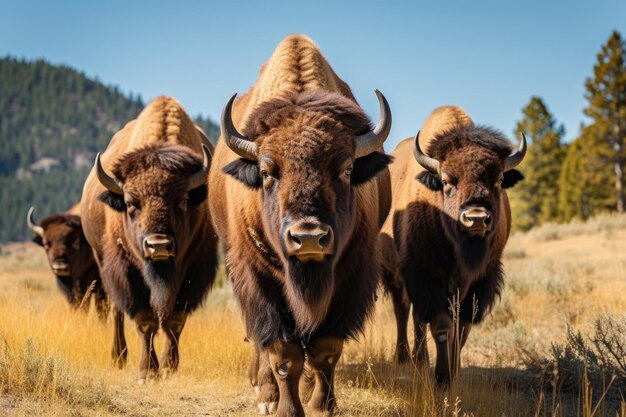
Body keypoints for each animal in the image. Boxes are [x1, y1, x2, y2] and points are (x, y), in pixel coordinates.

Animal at [80, 96, 217, 382]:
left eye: (183, 200)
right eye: (131, 203)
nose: (158, 245)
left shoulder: (194, 268)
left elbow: (174, 320)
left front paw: (168, 366)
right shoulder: (126, 270)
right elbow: (145, 320)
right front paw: (147, 371)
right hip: (103, 261)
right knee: (116, 311)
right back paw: (119, 356)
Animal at [210, 34, 392, 414]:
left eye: (347, 169)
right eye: (267, 171)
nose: (308, 238)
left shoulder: (350, 278)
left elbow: (325, 350)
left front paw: (322, 405)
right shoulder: (260, 281)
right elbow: (283, 351)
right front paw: (283, 406)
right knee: (258, 338)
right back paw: (264, 391)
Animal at [378, 105, 524, 386]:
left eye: (499, 179)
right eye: (446, 181)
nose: (476, 218)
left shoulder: (479, 281)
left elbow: (462, 326)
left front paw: (455, 371)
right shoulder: (426, 274)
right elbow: (442, 326)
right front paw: (443, 378)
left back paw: (419, 358)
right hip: (395, 275)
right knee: (403, 311)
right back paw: (406, 358)